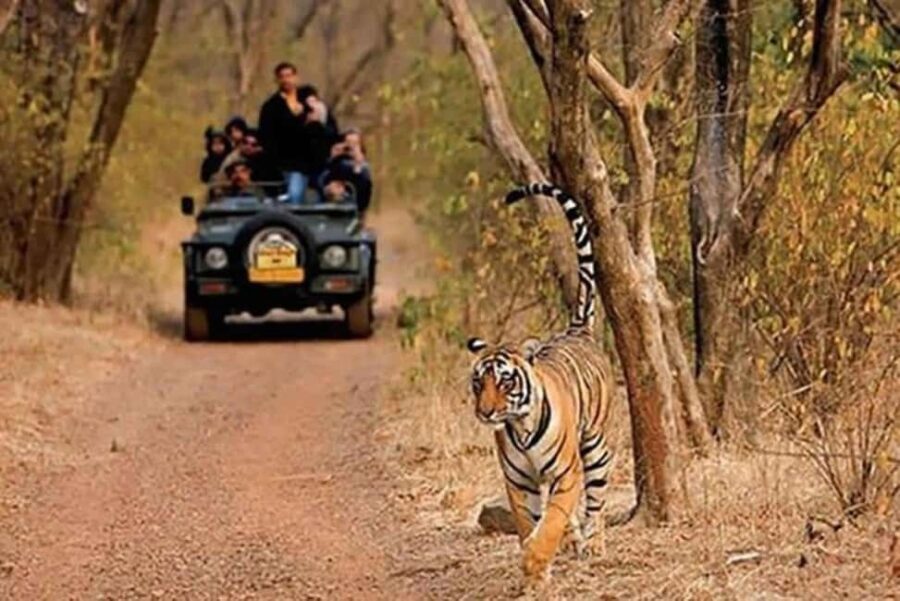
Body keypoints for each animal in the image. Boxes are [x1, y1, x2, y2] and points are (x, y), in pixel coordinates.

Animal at [467, 182, 613, 586]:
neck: (520, 427)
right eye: (477, 383)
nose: (486, 413)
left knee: (596, 501)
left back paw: (594, 543)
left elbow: (551, 521)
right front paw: (535, 570)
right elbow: (527, 522)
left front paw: (535, 561)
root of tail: (577, 330)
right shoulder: (518, 483)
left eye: (504, 381)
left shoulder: (567, 473)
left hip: (594, 445)